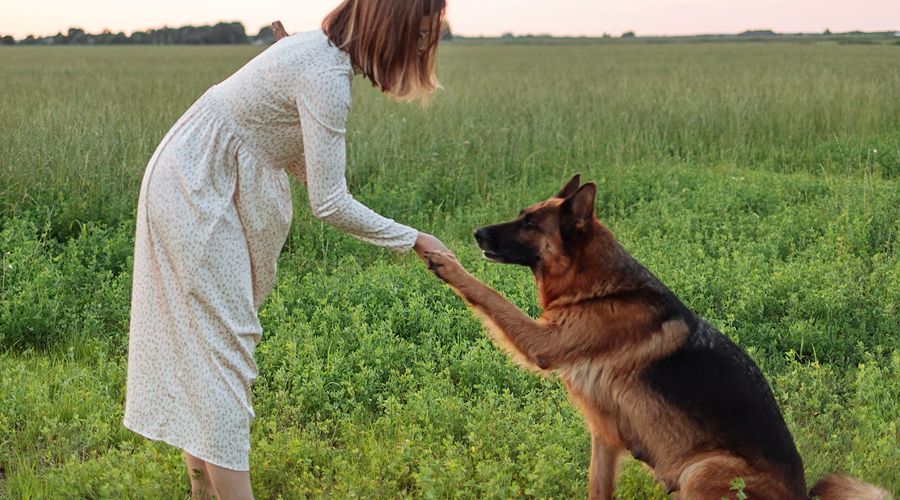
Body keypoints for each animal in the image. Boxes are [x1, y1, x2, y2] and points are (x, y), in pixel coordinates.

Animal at [426, 174, 888, 498]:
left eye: (528, 223)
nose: (476, 234)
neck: (600, 289)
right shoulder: (605, 436)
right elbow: (597, 488)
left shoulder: (544, 344)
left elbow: (490, 295)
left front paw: (443, 260)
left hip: (702, 470)